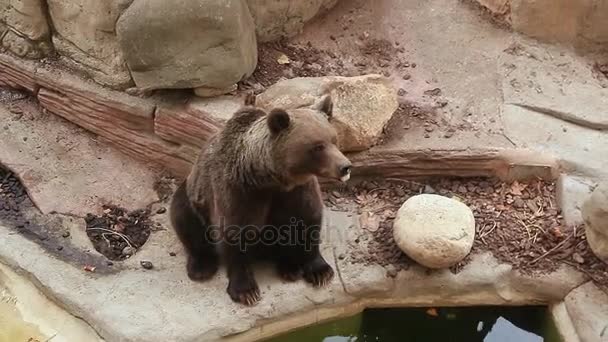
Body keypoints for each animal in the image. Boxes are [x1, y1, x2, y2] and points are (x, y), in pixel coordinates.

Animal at [170, 93, 352, 304]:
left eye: (334, 140)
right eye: (318, 146)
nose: (345, 166)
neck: (272, 181)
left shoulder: (298, 192)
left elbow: (308, 222)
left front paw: (321, 271)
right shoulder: (239, 193)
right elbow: (234, 234)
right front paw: (245, 291)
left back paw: (289, 267)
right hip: (192, 196)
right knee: (185, 220)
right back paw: (201, 267)